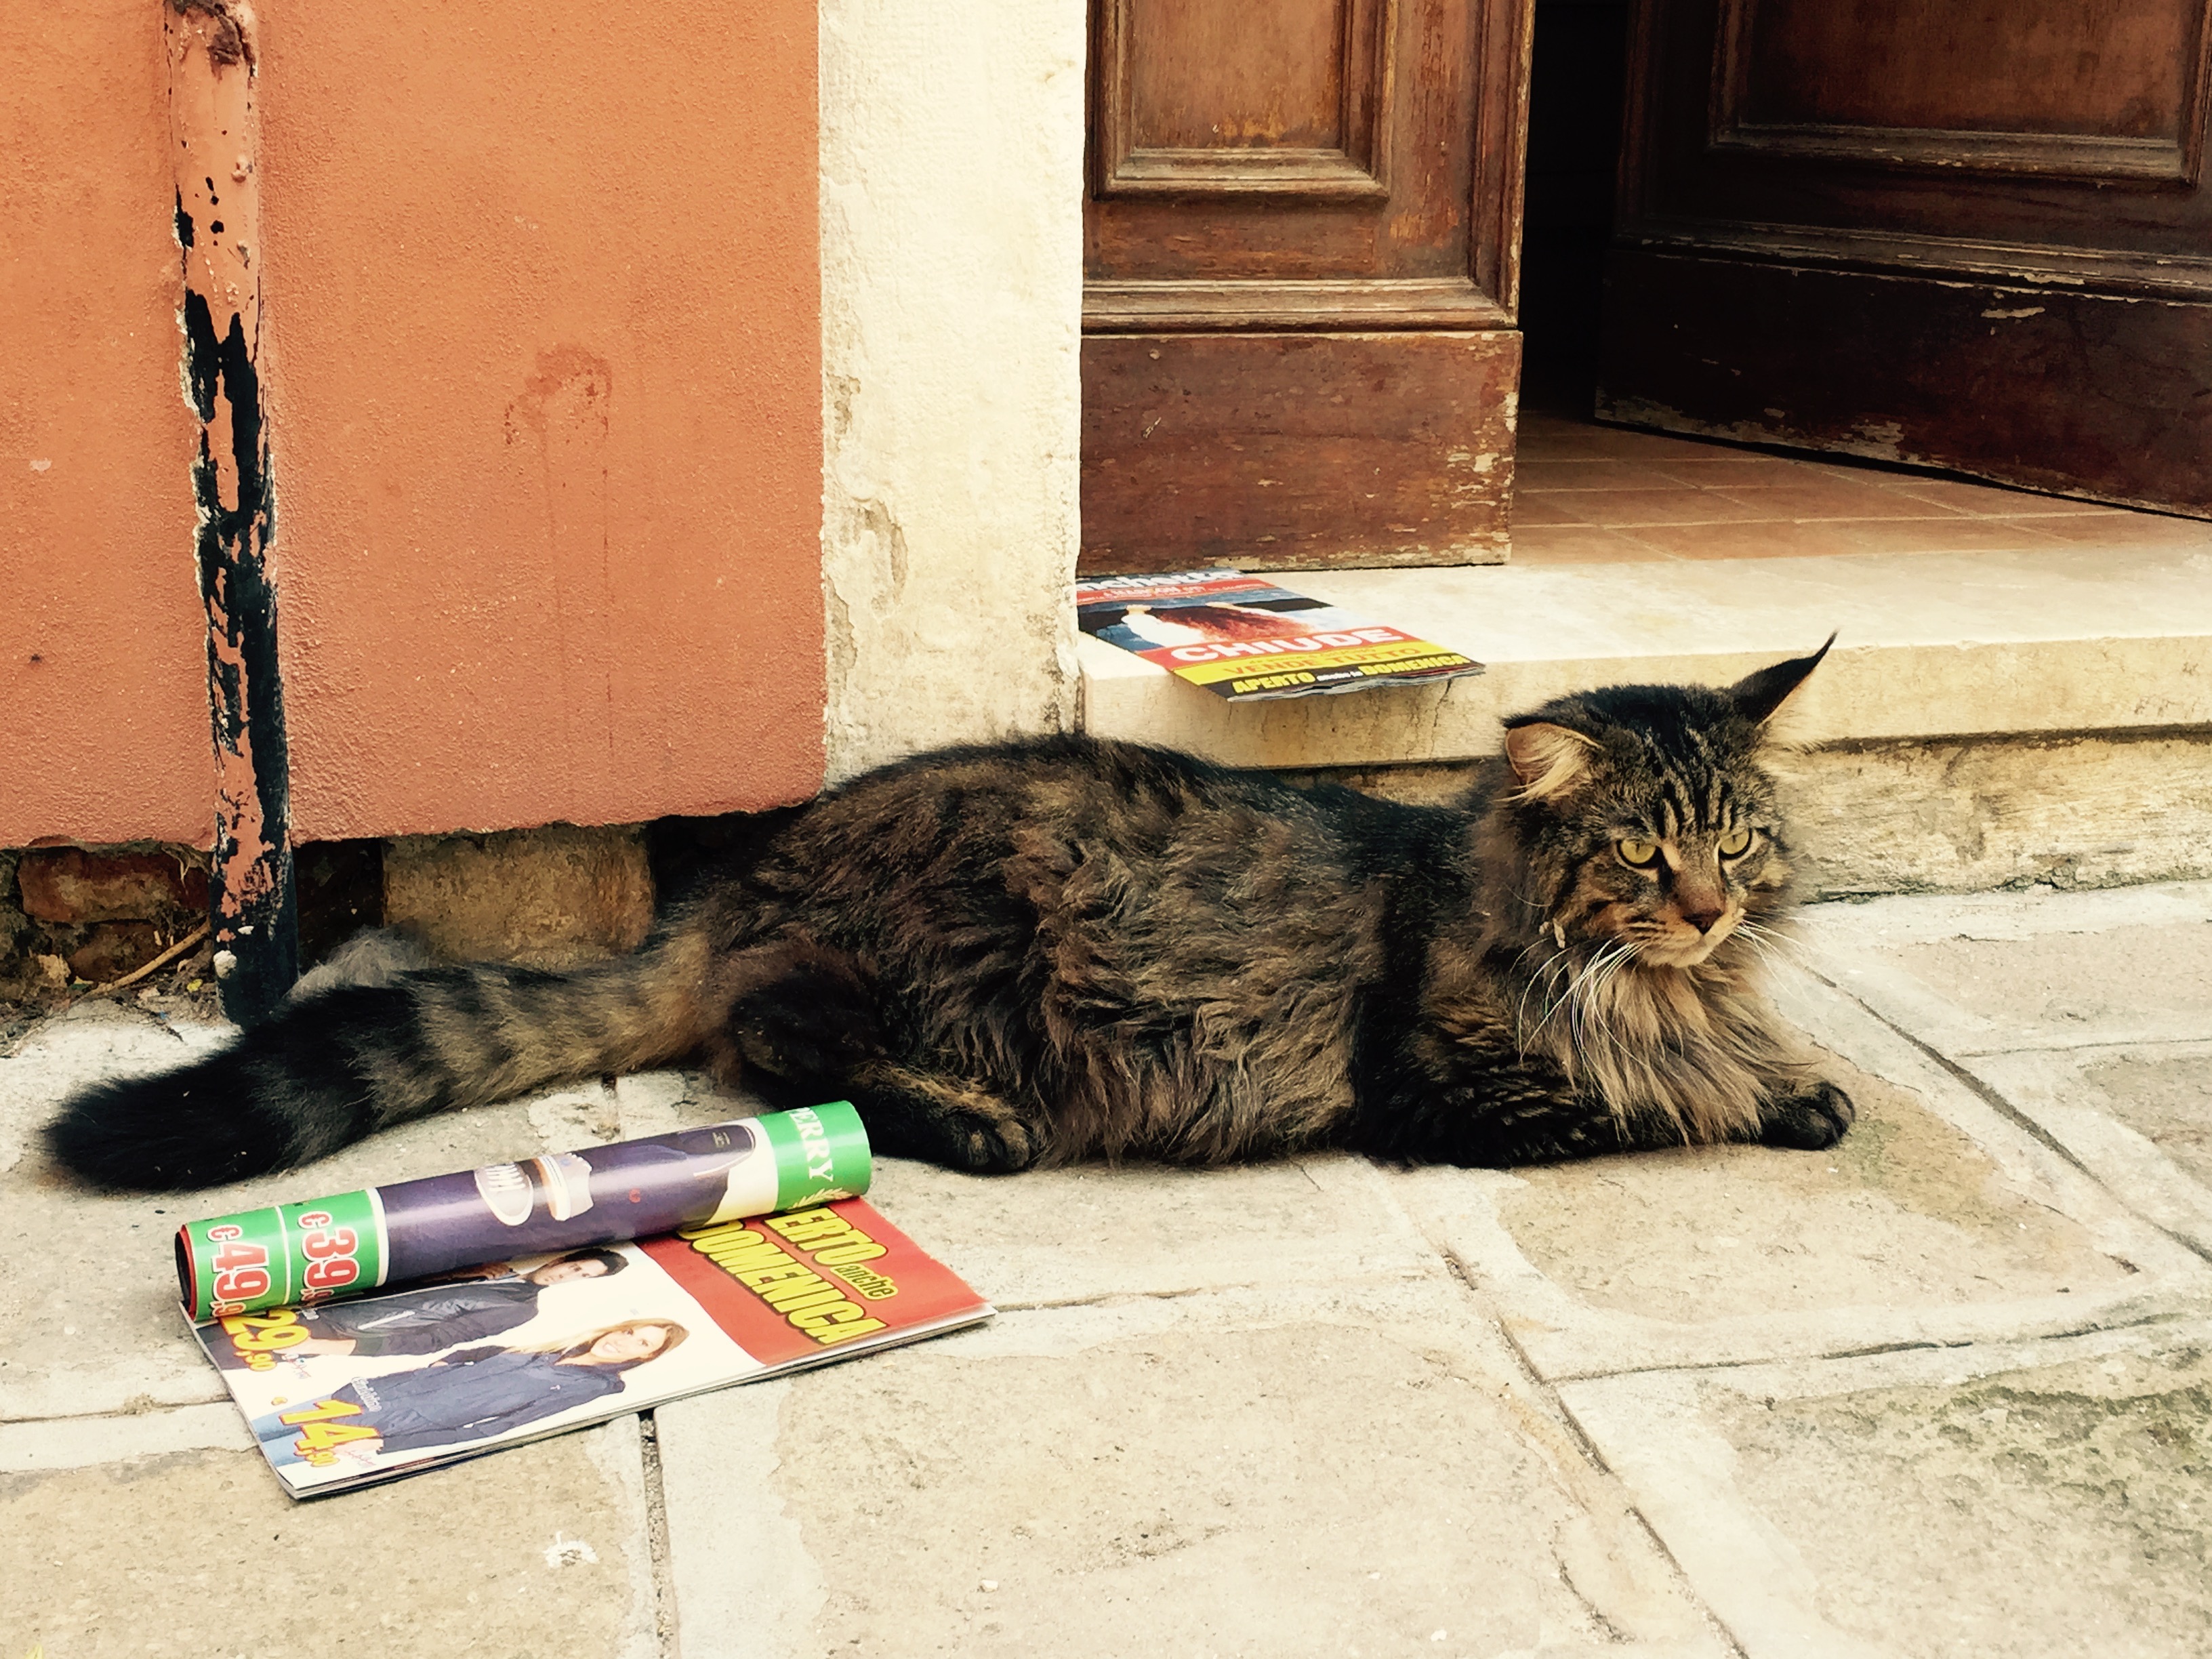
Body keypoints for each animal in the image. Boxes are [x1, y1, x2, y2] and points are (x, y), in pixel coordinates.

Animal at [47, 641, 1849, 1194]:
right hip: (975, 942)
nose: (1705, 913)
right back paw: (977, 1126)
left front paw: (1790, 1079)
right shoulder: (1427, 1078)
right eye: (1639, 858)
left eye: (1737, 845)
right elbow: (1619, 1101)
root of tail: (746, 873)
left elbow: (1759, 1074)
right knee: (775, 1051)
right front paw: (1727, 1096)